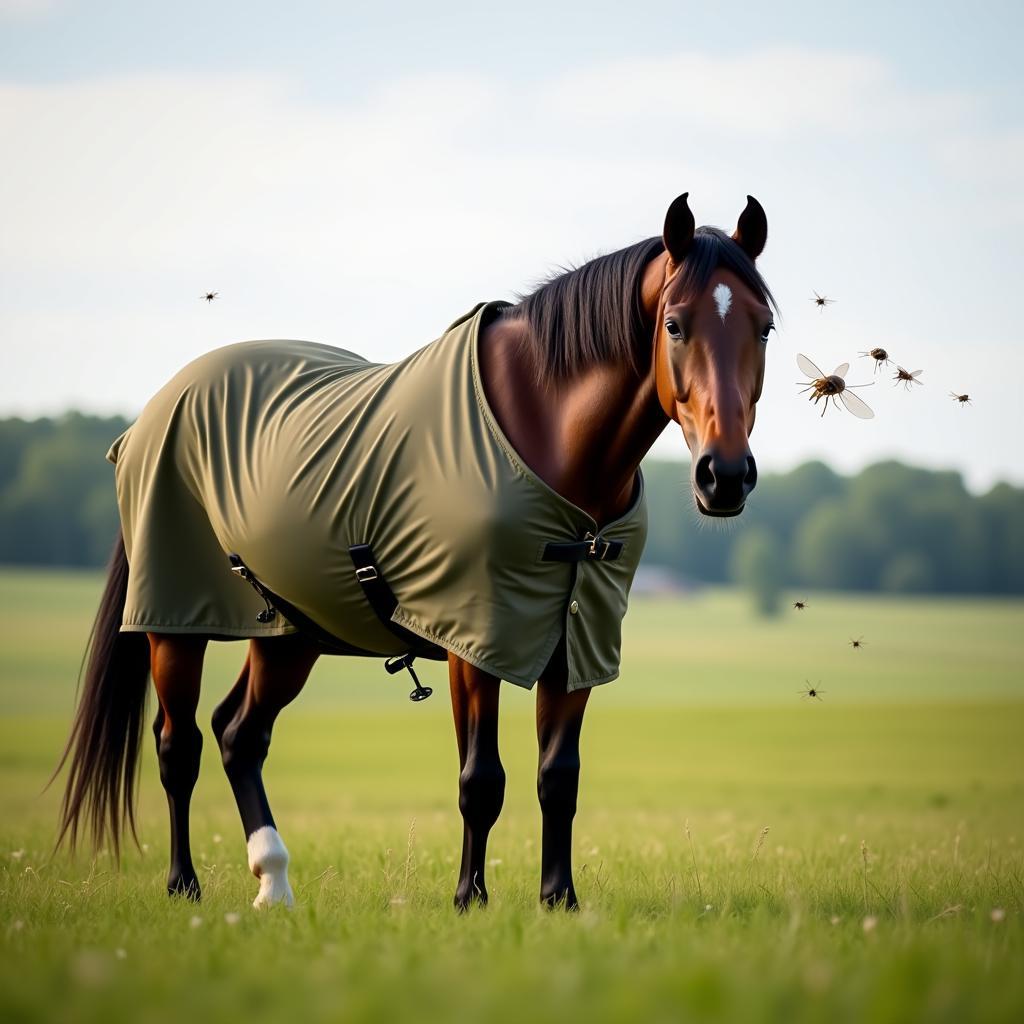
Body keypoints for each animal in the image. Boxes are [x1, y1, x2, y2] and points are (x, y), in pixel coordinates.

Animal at [51, 192, 770, 913]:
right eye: (674, 324)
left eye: (763, 327)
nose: (725, 476)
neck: (544, 432)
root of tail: (149, 415)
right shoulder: (472, 641)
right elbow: (481, 780)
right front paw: (470, 898)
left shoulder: (578, 640)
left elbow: (558, 778)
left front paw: (558, 899)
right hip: (174, 624)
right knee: (180, 746)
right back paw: (185, 884)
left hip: (289, 634)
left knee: (240, 736)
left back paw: (273, 880)